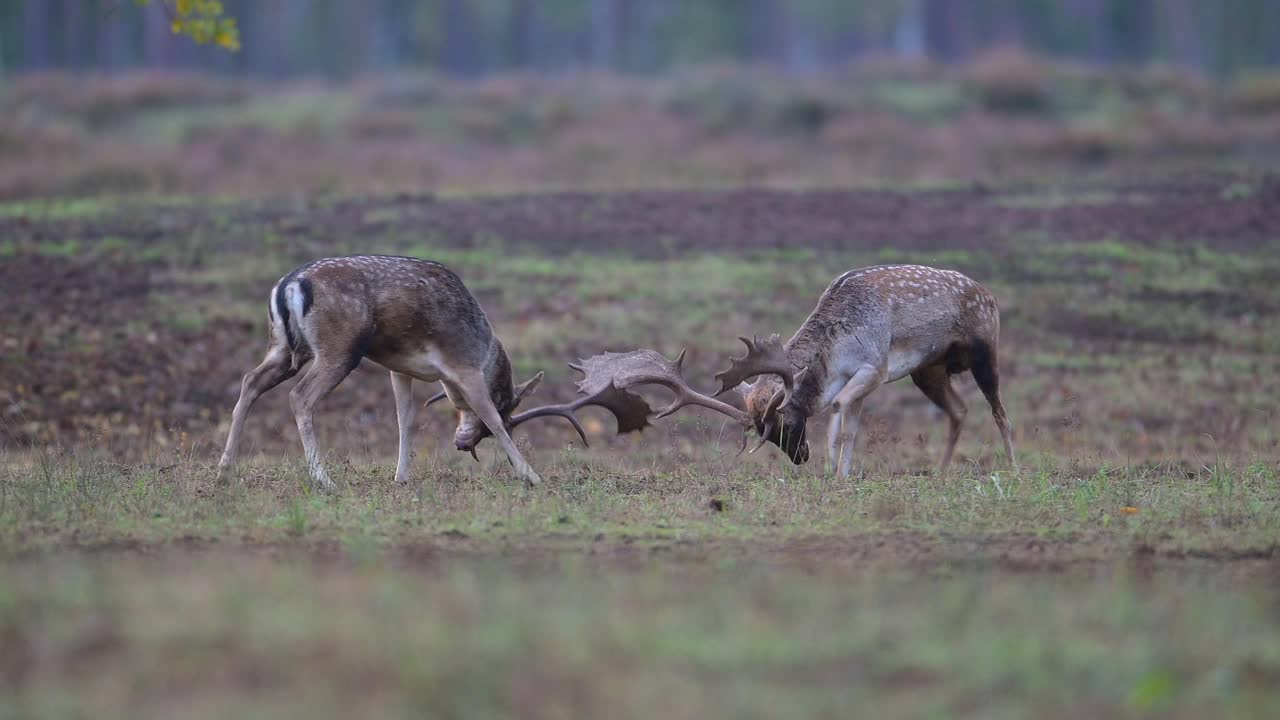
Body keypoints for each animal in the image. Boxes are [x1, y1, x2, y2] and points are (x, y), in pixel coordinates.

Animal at [216, 253, 650, 486]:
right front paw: (531, 476)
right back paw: (323, 480)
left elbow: (405, 419)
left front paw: (401, 477)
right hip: (338, 349)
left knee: (249, 381)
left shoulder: (400, 367)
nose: (464, 443)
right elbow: (489, 415)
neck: (486, 349)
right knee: (299, 397)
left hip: (282, 346)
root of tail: (288, 285)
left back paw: (224, 472)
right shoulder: (462, 366)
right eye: (511, 414)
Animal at [576, 263, 1013, 476]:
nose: (800, 457)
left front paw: (836, 472)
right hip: (928, 369)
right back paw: (940, 472)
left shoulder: (876, 365)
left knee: (999, 411)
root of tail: (990, 294)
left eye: (785, 423)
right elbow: (846, 416)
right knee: (960, 410)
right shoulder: (862, 376)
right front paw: (837, 473)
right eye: (766, 436)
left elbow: (840, 411)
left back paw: (1013, 468)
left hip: (984, 348)